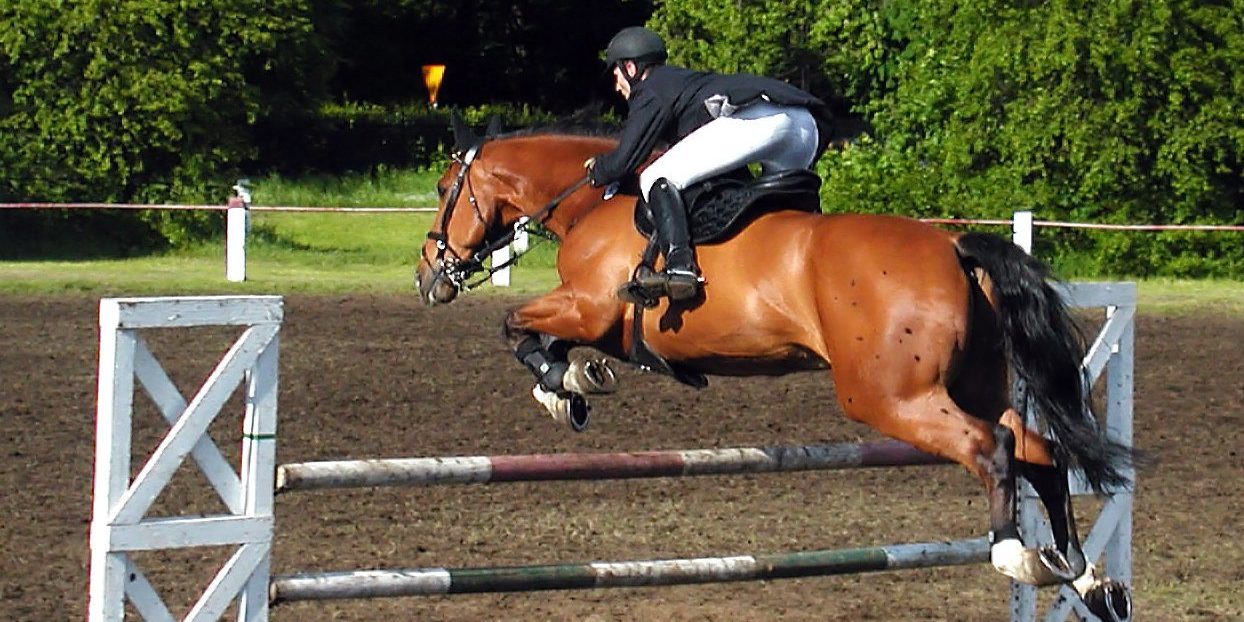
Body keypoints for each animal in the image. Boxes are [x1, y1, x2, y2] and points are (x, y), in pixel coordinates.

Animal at [414, 119, 1133, 622]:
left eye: (446, 191)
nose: (428, 277)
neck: (595, 201)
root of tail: (953, 246)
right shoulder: (602, 323)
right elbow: (538, 334)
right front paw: (570, 384)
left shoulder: (589, 308)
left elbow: (516, 326)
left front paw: (564, 385)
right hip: (967, 384)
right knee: (1039, 449)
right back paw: (1085, 576)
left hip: (889, 397)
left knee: (994, 446)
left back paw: (1014, 554)